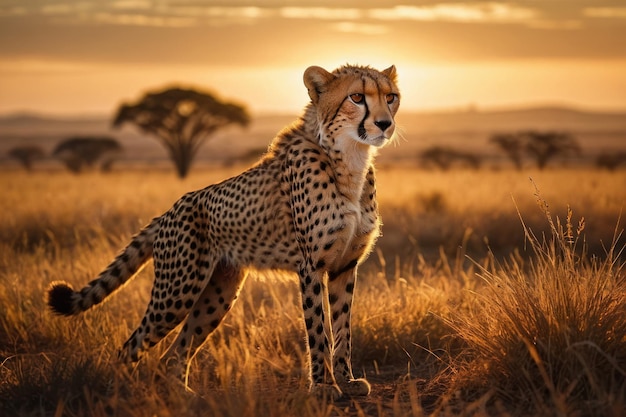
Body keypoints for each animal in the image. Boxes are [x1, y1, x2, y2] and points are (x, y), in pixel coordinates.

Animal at [47, 64, 400, 396]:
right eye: (357, 97)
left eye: (391, 97)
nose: (385, 124)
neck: (350, 159)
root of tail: (169, 211)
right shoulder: (311, 266)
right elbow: (318, 330)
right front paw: (324, 387)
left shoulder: (344, 266)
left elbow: (342, 327)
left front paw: (346, 380)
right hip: (178, 290)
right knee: (131, 345)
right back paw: (121, 393)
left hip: (219, 292)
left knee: (175, 352)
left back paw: (184, 396)